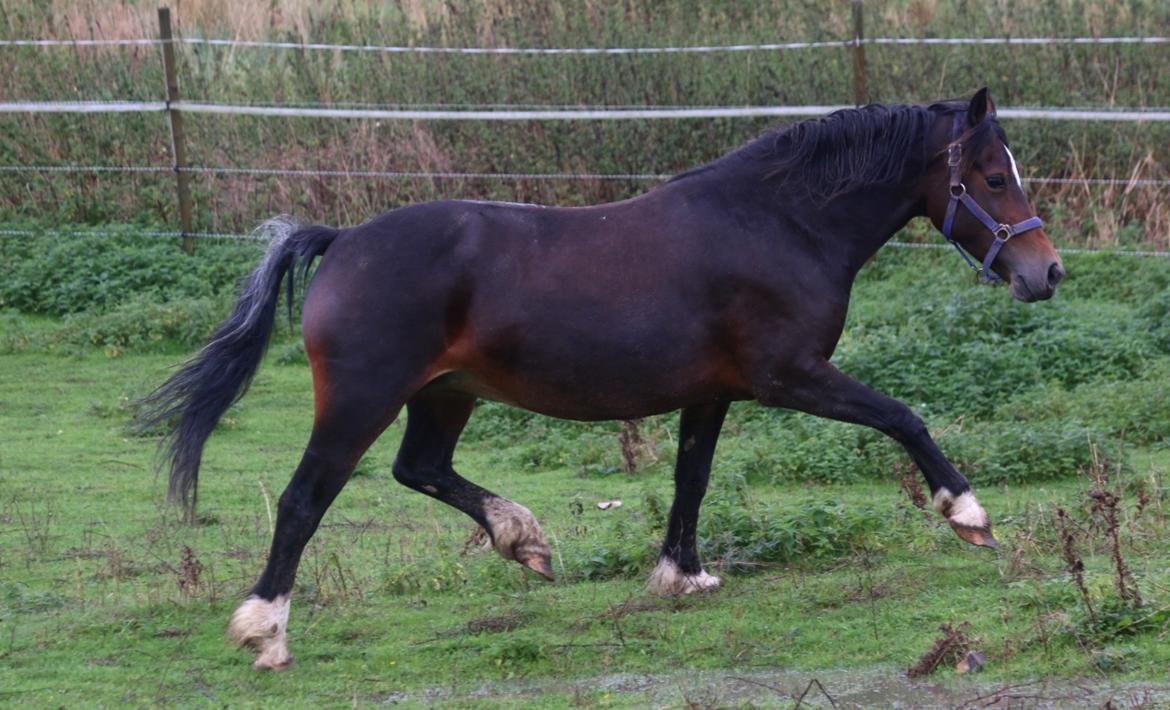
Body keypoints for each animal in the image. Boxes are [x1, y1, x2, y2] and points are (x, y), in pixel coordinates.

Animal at [136, 88, 1062, 673]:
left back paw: (525, 540)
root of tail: (343, 240)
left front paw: (682, 575)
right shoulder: (790, 376)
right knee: (306, 499)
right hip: (364, 398)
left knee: (419, 469)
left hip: (445, 393)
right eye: (991, 176)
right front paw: (970, 517)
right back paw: (265, 634)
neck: (777, 224)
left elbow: (691, 478)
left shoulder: (712, 392)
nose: (1046, 273)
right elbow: (905, 417)